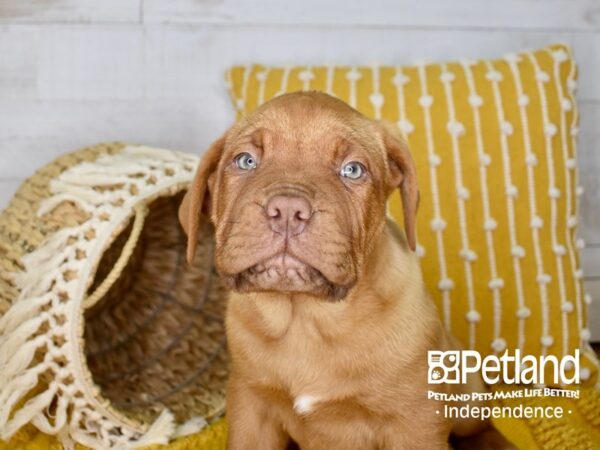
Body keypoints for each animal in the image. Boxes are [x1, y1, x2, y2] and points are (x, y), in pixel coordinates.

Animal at [178, 92, 510, 450]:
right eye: (245, 161)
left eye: (352, 170)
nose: (288, 210)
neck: (306, 320)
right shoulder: (251, 407)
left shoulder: (415, 421)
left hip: (466, 393)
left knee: (481, 427)